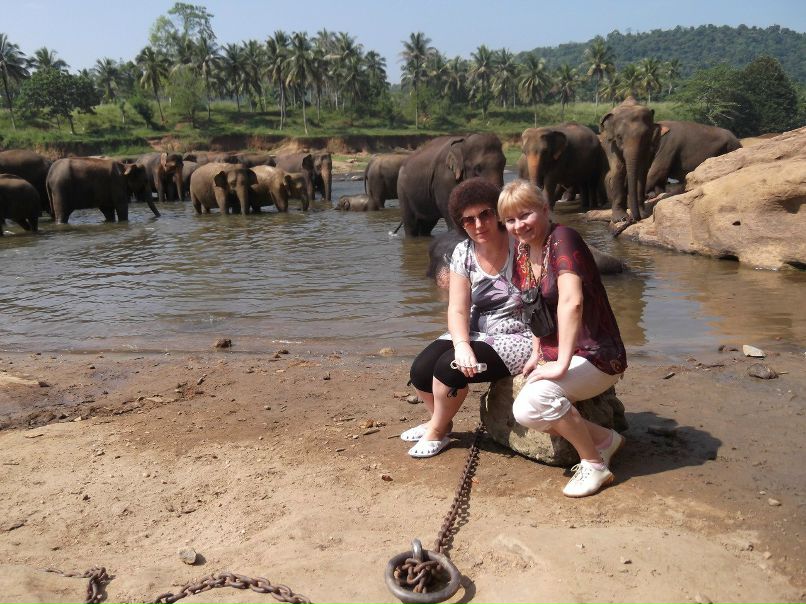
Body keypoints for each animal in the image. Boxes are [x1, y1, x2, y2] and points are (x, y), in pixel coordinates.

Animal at [599, 96, 661, 227]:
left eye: (646, 136)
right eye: (619, 137)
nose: (633, 219)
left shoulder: (649, 145)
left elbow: (642, 170)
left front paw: (643, 214)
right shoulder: (610, 144)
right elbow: (619, 169)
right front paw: (620, 219)